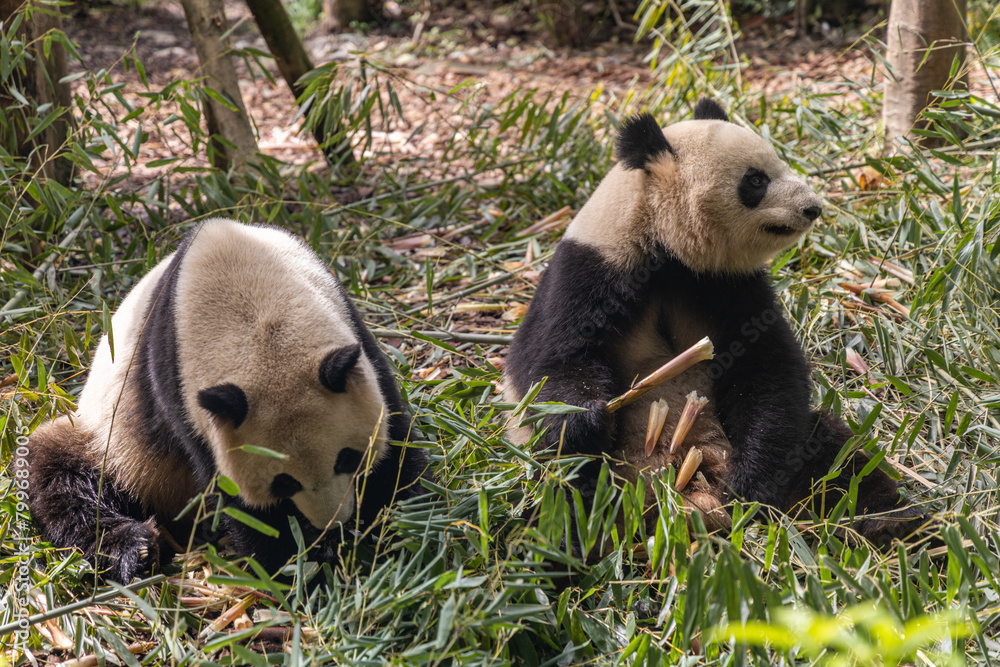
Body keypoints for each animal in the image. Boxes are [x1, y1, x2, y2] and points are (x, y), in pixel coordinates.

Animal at [27, 219, 430, 583]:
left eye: (347, 458)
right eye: (283, 483)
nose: (333, 520)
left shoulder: (354, 336)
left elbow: (394, 443)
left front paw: (396, 524)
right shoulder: (180, 394)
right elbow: (242, 502)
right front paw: (298, 567)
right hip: (110, 441)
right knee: (64, 478)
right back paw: (135, 550)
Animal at [504, 99, 930, 546]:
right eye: (756, 180)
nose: (812, 207)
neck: (662, 241)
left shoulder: (727, 285)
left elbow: (765, 371)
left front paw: (749, 483)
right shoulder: (590, 272)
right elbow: (554, 362)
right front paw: (587, 418)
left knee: (834, 454)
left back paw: (890, 518)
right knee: (565, 488)